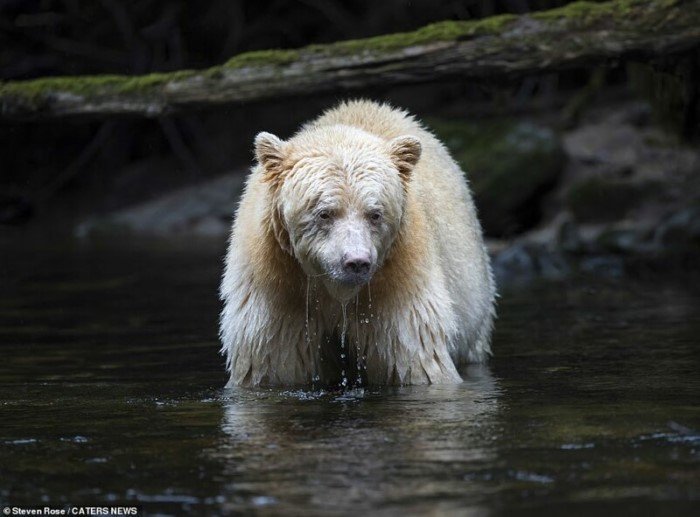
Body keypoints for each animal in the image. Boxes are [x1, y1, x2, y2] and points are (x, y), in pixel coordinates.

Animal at [221, 99, 494, 384]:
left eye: (375, 214)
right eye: (324, 213)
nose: (356, 262)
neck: (334, 292)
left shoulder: (398, 289)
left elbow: (416, 360)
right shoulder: (277, 292)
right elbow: (271, 364)